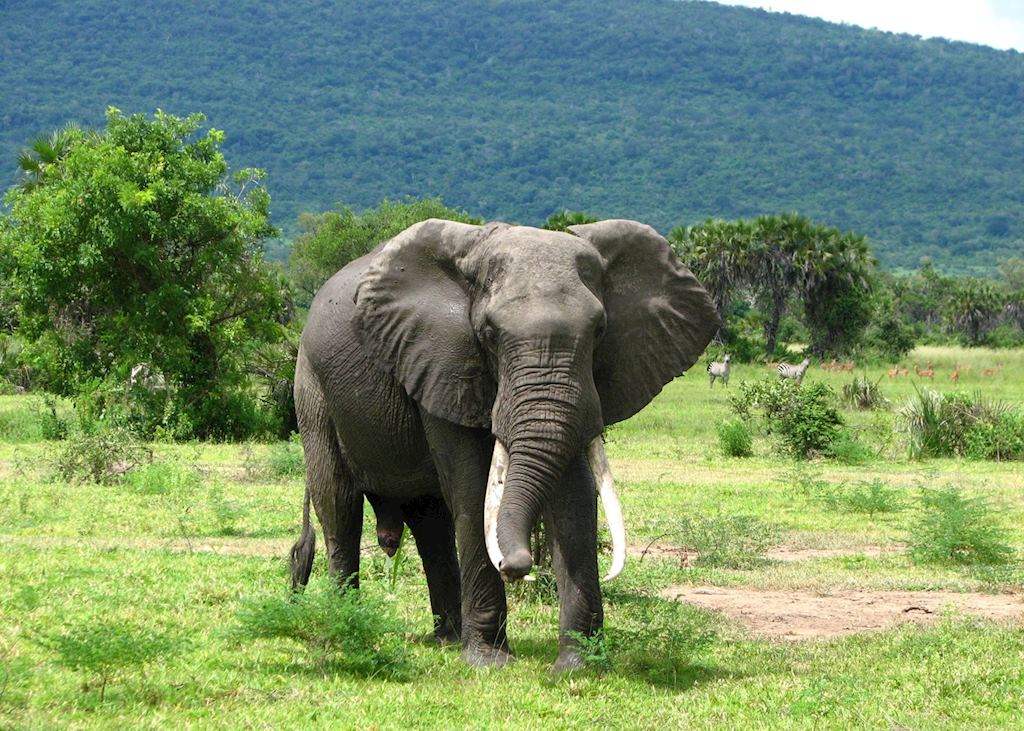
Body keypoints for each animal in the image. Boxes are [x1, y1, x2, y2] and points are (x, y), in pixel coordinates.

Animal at [290, 216, 720, 667]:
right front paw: (490, 662)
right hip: (312, 385)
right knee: (339, 504)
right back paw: (343, 627)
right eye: (489, 333)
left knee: (429, 519)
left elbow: (574, 495)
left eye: (600, 330)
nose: (519, 567)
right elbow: (473, 488)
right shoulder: (441, 357)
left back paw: (448, 639)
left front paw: (577, 664)